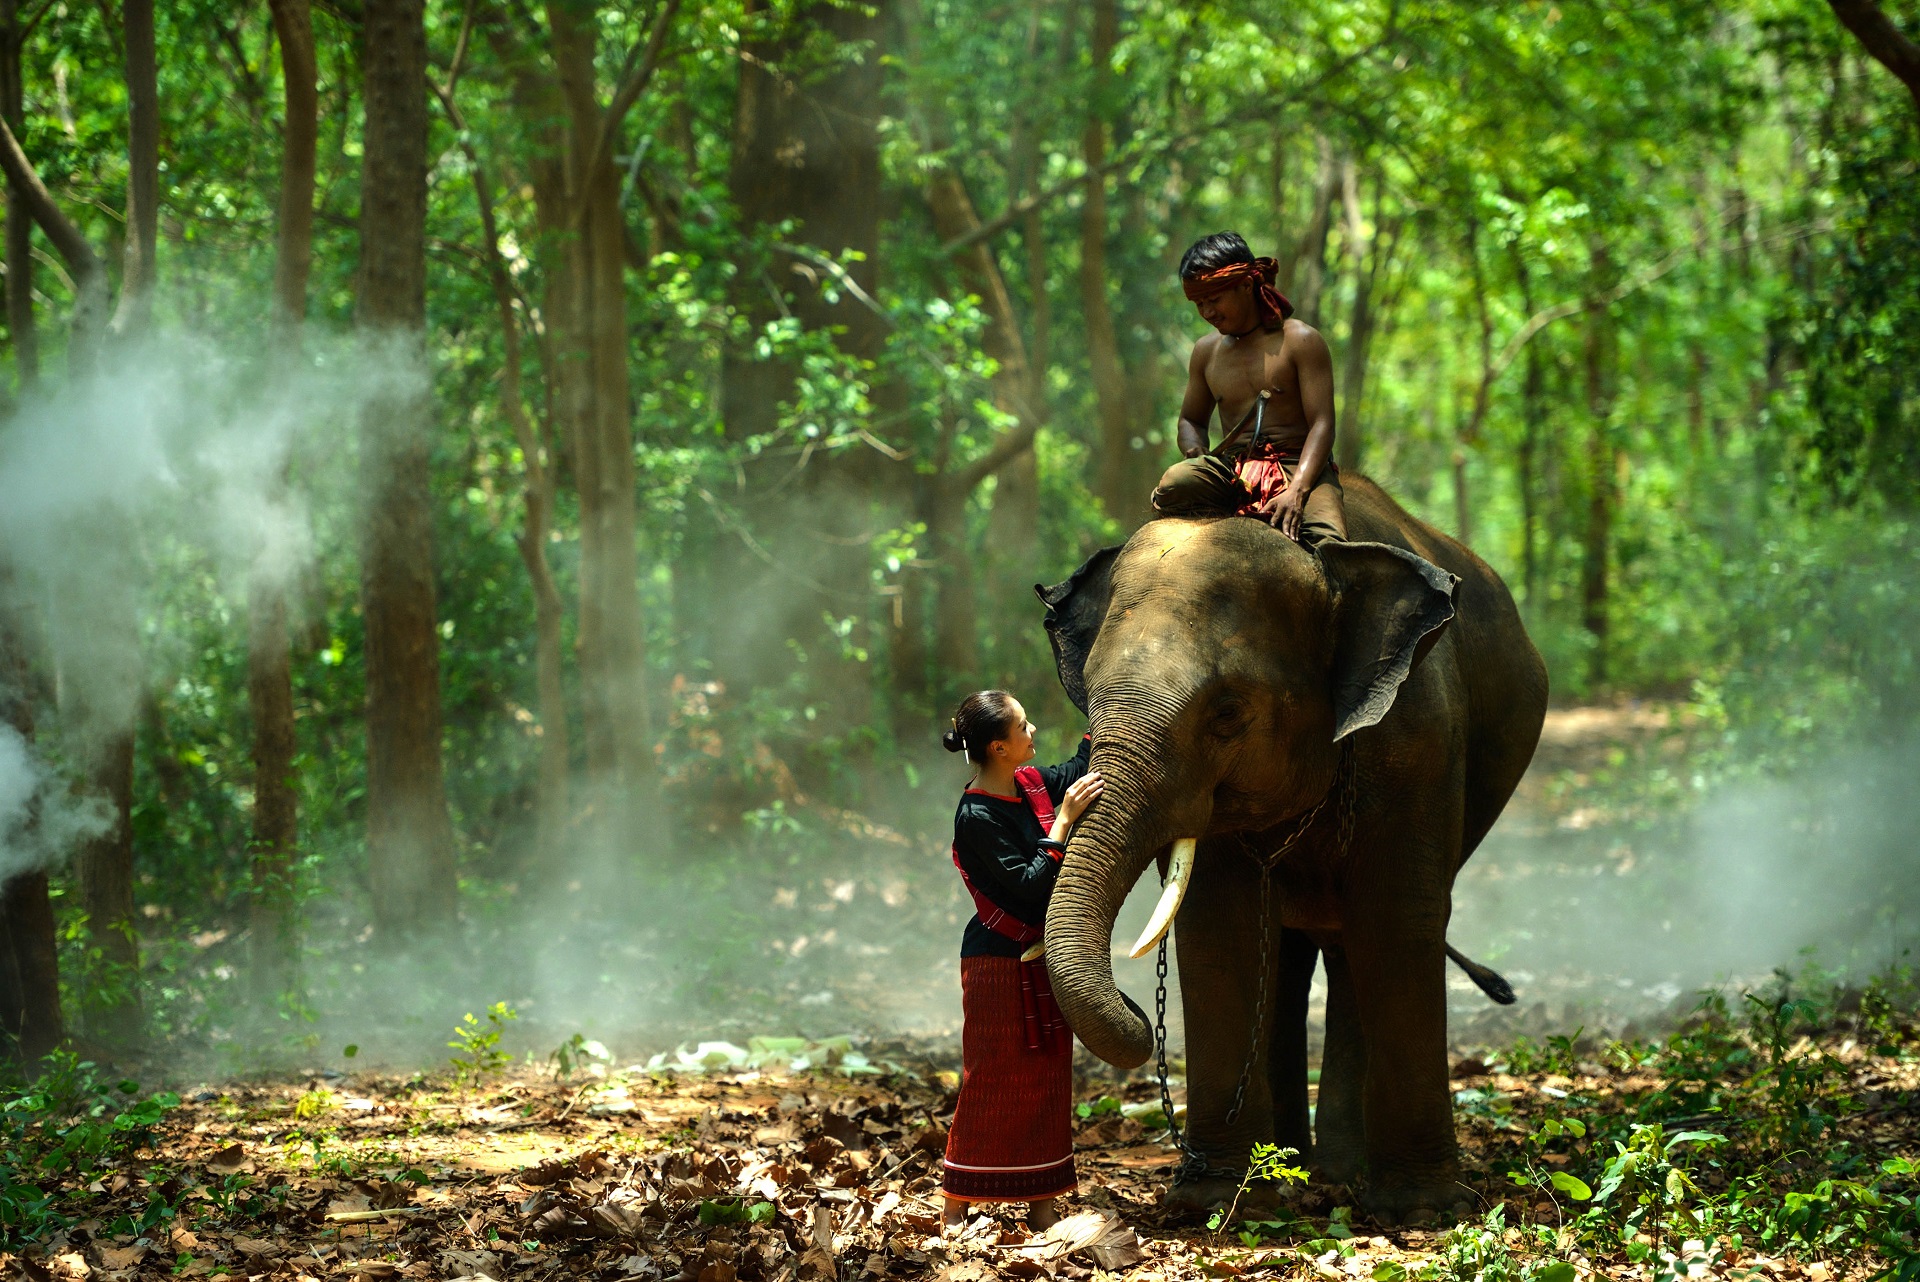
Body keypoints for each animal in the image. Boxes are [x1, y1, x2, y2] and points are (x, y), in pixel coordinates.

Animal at [1036, 474, 1543, 1220]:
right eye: (1090, 698)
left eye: (1226, 714)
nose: (1134, 1011)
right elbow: (1224, 928)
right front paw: (1215, 1201)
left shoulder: (1418, 740)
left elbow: (1397, 919)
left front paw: (1421, 1211)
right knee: (1293, 951)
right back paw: (1298, 1167)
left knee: (1359, 942)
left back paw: (1338, 1169)